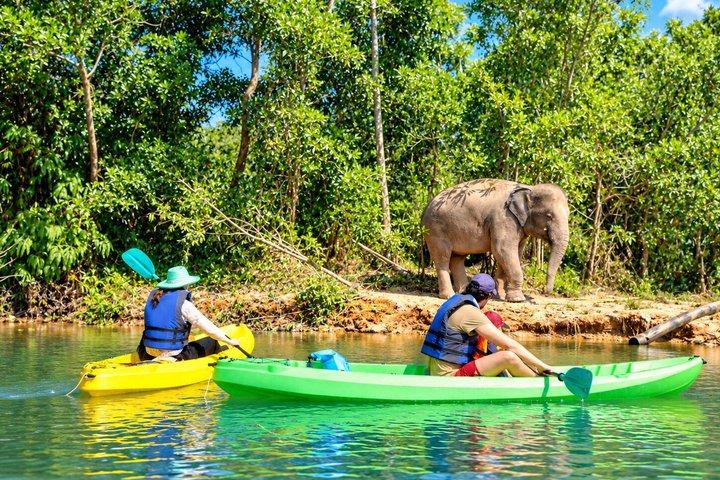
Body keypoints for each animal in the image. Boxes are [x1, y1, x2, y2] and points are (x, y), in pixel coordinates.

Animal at [421, 178, 569, 301]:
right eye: (549, 216)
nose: (544, 291)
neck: (529, 188)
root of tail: (425, 208)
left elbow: (514, 253)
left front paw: (501, 296)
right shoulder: (504, 219)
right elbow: (502, 249)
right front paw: (517, 299)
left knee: (457, 258)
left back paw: (463, 293)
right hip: (435, 229)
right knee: (443, 257)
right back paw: (448, 296)